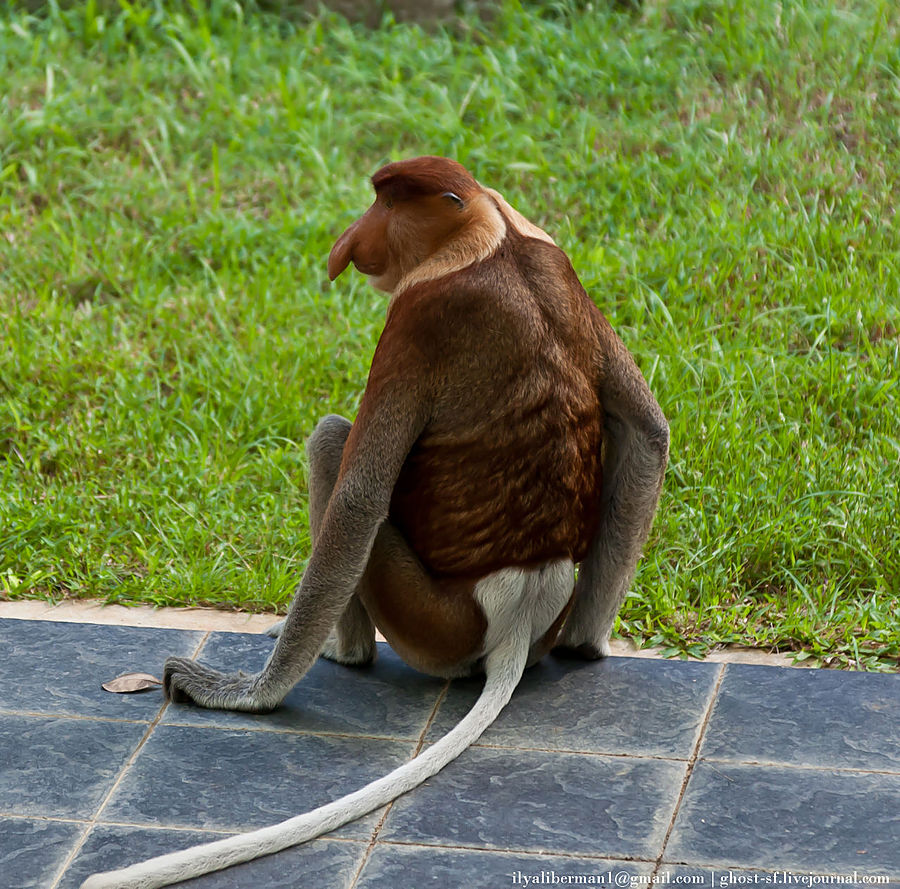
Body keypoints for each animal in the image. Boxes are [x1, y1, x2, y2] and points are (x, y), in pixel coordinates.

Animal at [82, 156, 668, 884]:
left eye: (385, 204)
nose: (348, 240)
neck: (491, 233)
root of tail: (518, 610)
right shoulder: (559, 264)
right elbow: (649, 430)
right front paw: (590, 646)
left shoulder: (416, 320)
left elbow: (357, 497)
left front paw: (245, 693)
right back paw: (576, 642)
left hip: (429, 620)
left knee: (331, 442)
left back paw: (345, 651)